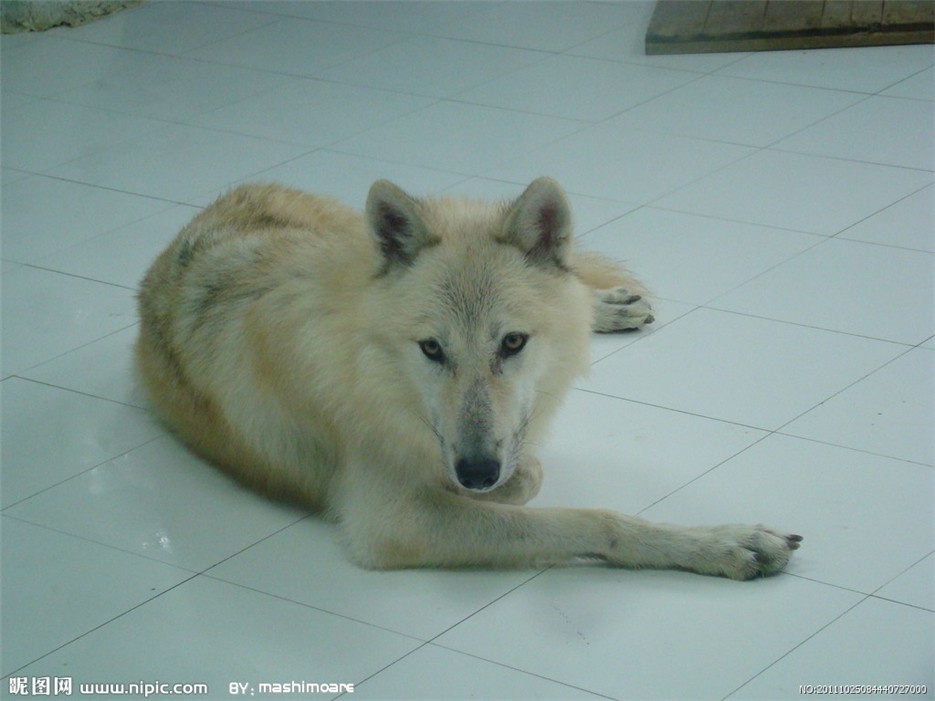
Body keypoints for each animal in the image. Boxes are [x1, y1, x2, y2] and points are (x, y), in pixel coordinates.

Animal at [135, 178, 800, 576]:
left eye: (512, 343)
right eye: (432, 349)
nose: (475, 472)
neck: (371, 366)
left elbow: (545, 484)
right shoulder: (392, 522)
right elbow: (578, 509)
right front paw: (723, 544)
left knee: (574, 281)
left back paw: (606, 306)